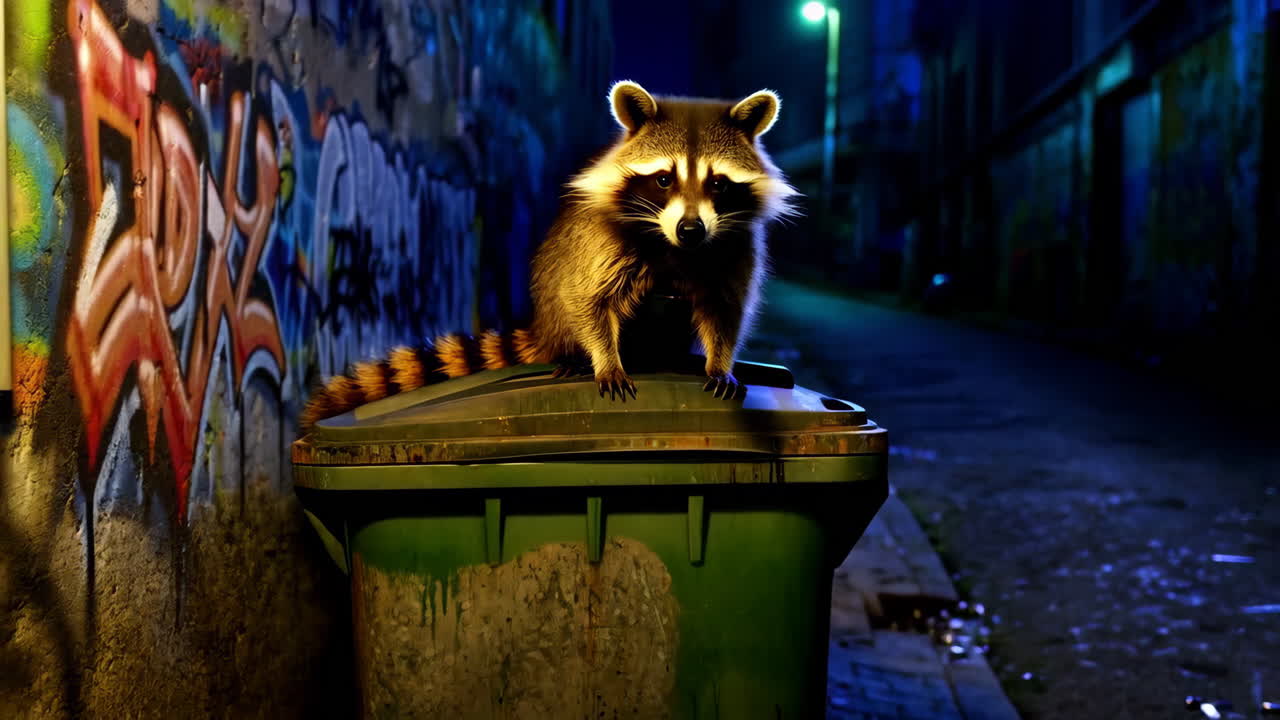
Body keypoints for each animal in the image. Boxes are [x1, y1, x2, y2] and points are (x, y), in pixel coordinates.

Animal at [300, 80, 797, 431]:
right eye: (663, 180)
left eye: (718, 183)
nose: (691, 229)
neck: (675, 244)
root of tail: (543, 330)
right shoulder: (603, 242)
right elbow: (589, 299)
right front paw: (606, 357)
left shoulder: (734, 246)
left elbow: (725, 307)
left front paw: (720, 360)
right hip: (557, 306)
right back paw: (578, 355)